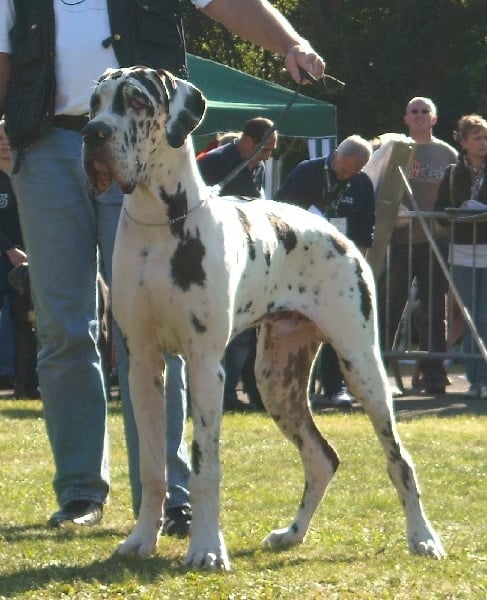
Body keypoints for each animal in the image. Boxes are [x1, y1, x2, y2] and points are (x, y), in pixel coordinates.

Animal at [83, 67, 446, 572]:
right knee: (322, 458)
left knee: (399, 458)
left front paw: (206, 548)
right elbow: (153, 465)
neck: (160, 225)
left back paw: (423, 537)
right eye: (94, 104)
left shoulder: (205, 366)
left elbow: (205, 467)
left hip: (362, 367)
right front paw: (141, 540)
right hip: (275, 379)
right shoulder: (142, 365)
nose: (93, 134)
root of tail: (335, 231)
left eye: (136, 100)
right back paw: (292, 534)